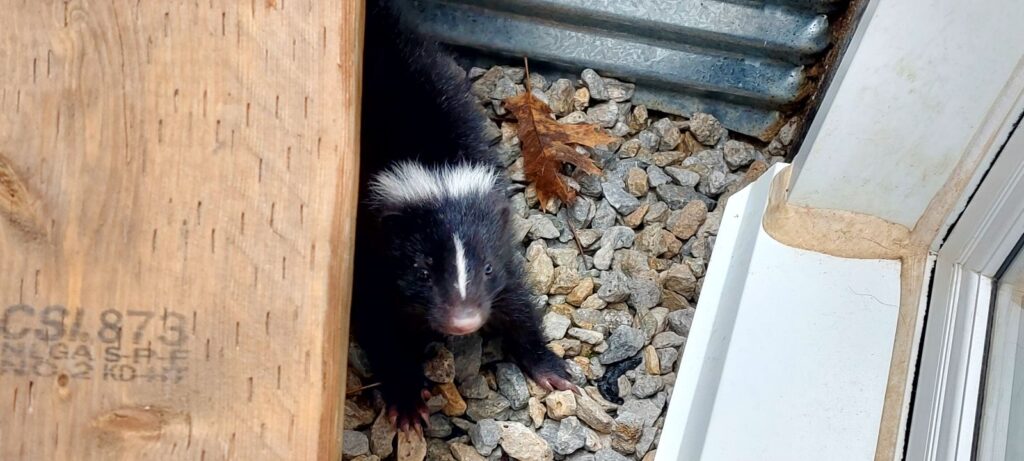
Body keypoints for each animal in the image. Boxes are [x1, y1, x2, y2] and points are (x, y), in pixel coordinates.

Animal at [354, 0, 577, 432]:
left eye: (486, 268)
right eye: (422, 271)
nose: (465, 321)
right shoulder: (369, 251)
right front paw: (406, 398)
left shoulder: (502, 245)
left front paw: (551, 368)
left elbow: (516, 301)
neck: (432, 161)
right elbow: (378, 322)